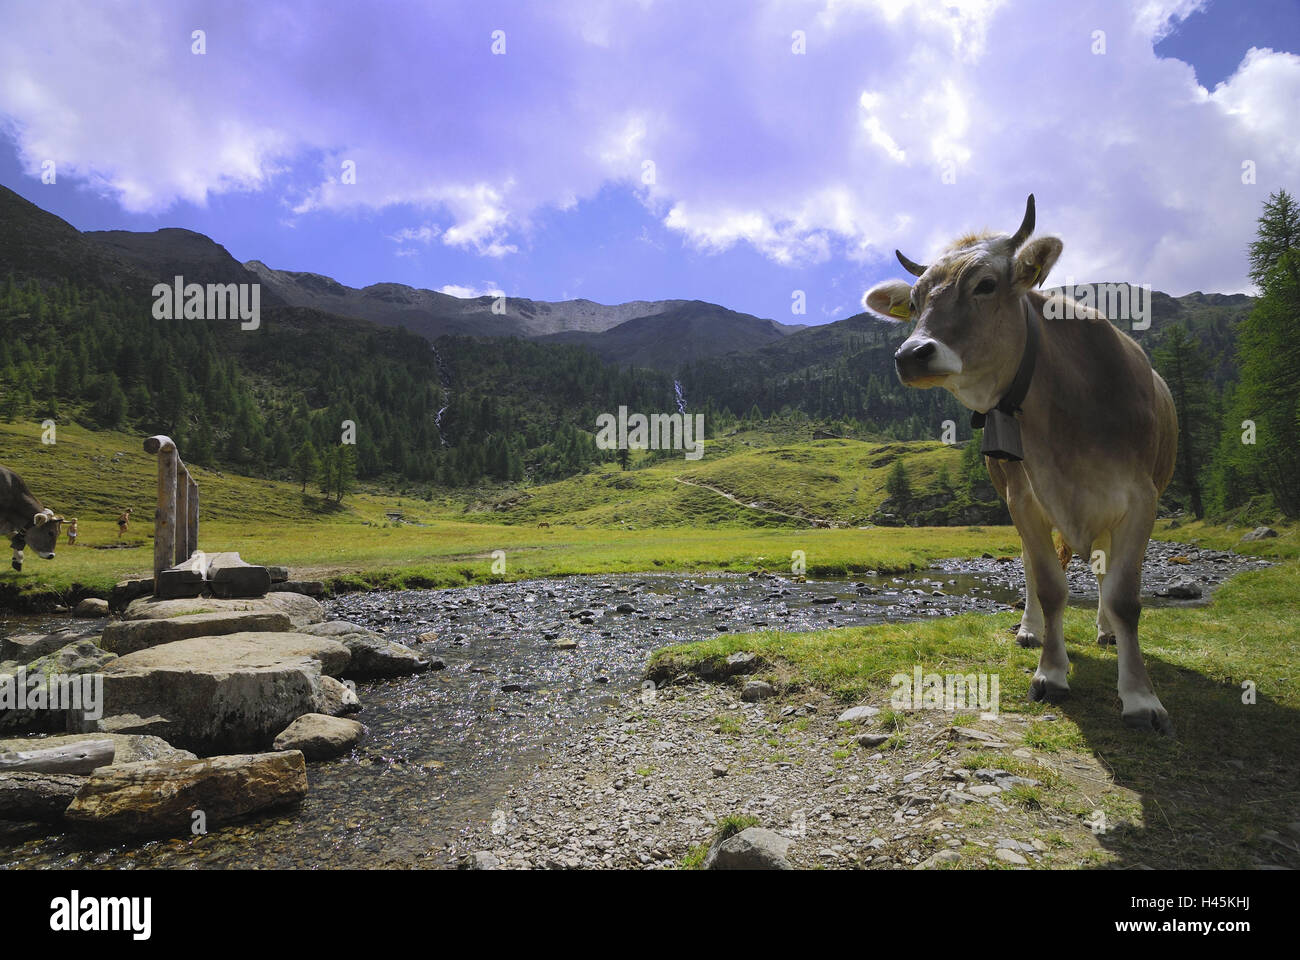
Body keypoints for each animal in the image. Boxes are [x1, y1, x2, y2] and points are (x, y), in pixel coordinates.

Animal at [862, 195, 1178, 735]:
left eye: (986, 284)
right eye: (917, 301)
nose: (911, 354)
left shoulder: (1142, 500)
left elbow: (1124, 597)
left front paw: (1140, 697)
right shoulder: (1025, 497)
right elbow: (1049, 585)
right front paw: (1051, 673)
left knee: (1102, 572)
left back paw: (1105, 632)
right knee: (1035, 565)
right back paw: (1032, 630)